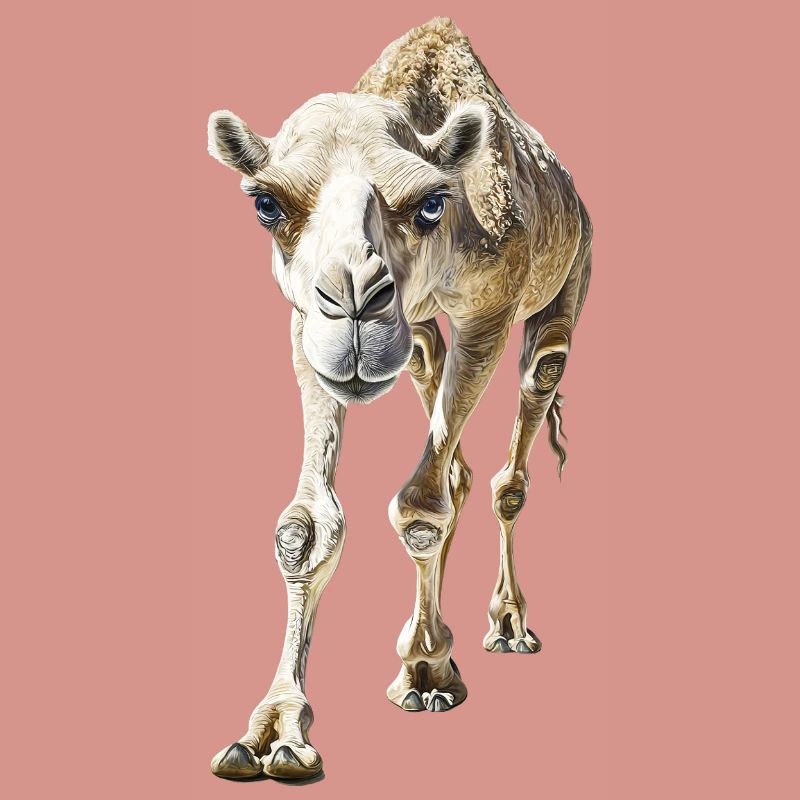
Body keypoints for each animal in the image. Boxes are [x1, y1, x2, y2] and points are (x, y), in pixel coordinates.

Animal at [206, 17, 592, 781]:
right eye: (267, 204)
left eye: (431, 202)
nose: (354, 300)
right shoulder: (305, 325)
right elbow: (306, 526)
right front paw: (272, 731)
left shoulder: (489, 314)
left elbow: (419, 507)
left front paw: (426, 672)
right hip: (416, 338)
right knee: (453, 453)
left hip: (569, 280)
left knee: (525, 418)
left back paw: (506, 626)